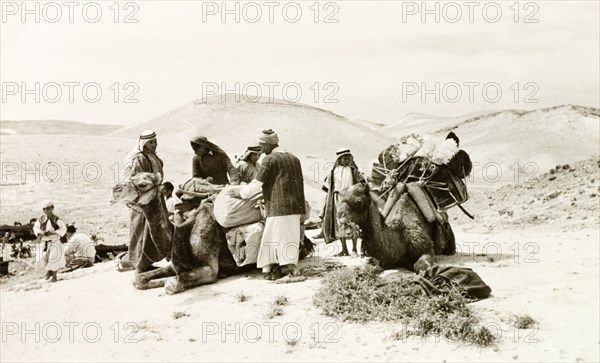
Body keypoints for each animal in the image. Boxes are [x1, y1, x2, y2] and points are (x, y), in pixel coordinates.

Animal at [110, 172, 314, 294]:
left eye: (143, 184)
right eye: (134, 176)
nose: (115, 189)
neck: (183, 235)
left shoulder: (209, 269)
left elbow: (171, 284)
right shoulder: (176, 264)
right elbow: (138, 279)